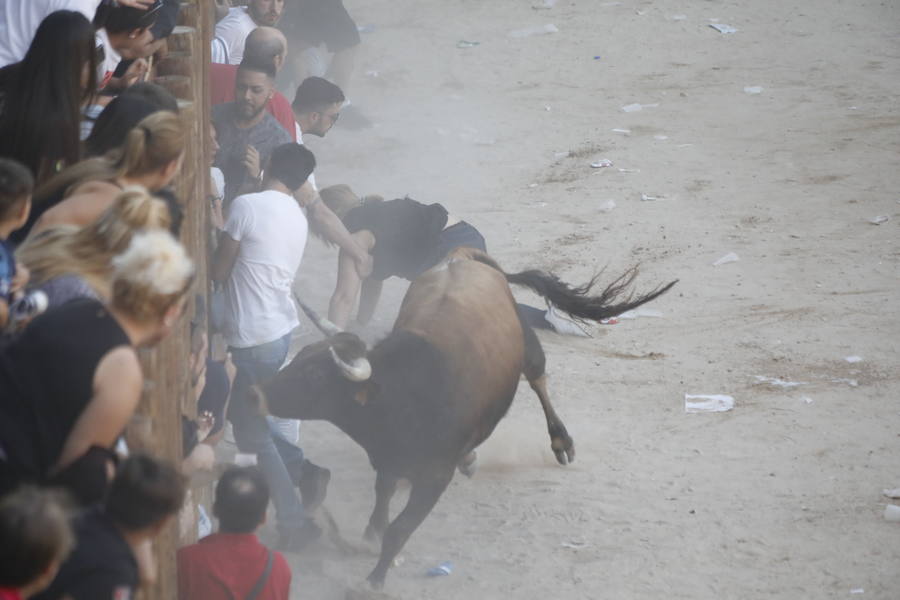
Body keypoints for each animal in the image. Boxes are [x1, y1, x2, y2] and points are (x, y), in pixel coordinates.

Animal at [253, 247, 676, 584]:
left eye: (313, 375)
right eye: (302, 360)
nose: (255, 391)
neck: (401, 398)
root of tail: (463, 254)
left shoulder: (433, 477)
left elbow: (400, 529)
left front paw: (373, 579)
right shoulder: (387, 459)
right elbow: (383, 498)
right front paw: (370, 535)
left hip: (526, 344)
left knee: (538, 378)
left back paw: (560, 442)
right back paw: (472, 458)